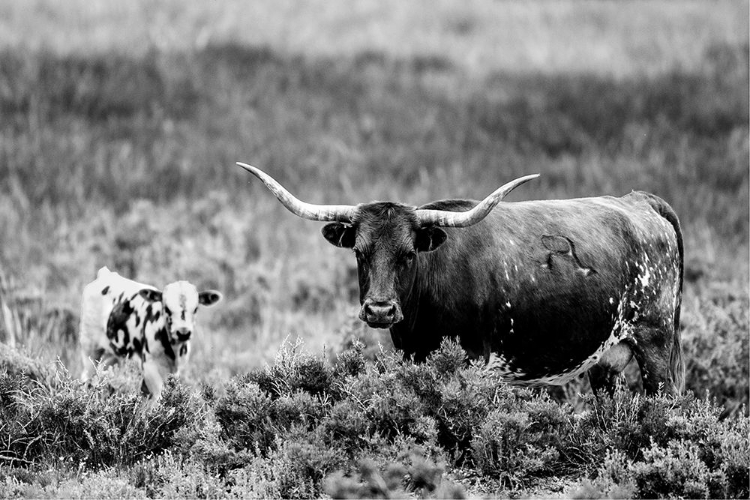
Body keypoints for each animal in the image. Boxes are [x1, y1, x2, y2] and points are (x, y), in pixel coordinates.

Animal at [238, 162, 684, 392]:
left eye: (408, 254)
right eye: (360, 253)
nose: (380, 310)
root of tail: (641, 201)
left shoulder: (471, 361)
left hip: (655, 343)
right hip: (606, 360)